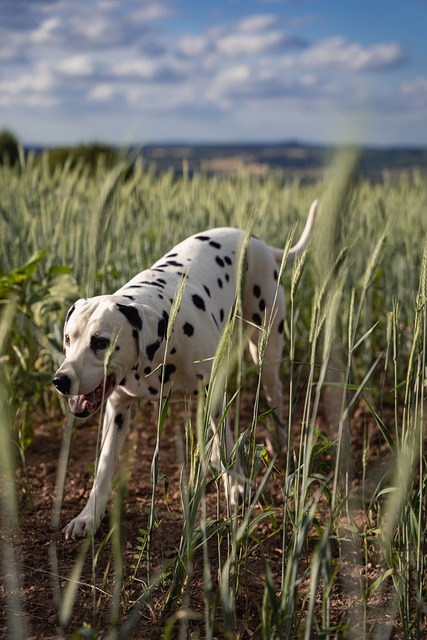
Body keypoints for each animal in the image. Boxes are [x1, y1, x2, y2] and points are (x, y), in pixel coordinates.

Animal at [52, 201, 318, 540]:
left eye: (101, 342)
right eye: (68, 339)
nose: (60, 380)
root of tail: (261, 244)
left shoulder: (213, 391)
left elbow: (227, 443)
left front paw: (237, 486)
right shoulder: (117, 409)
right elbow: (103, 467)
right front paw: (89, 516)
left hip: (265, 348)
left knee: (274, 396)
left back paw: (279, 441)